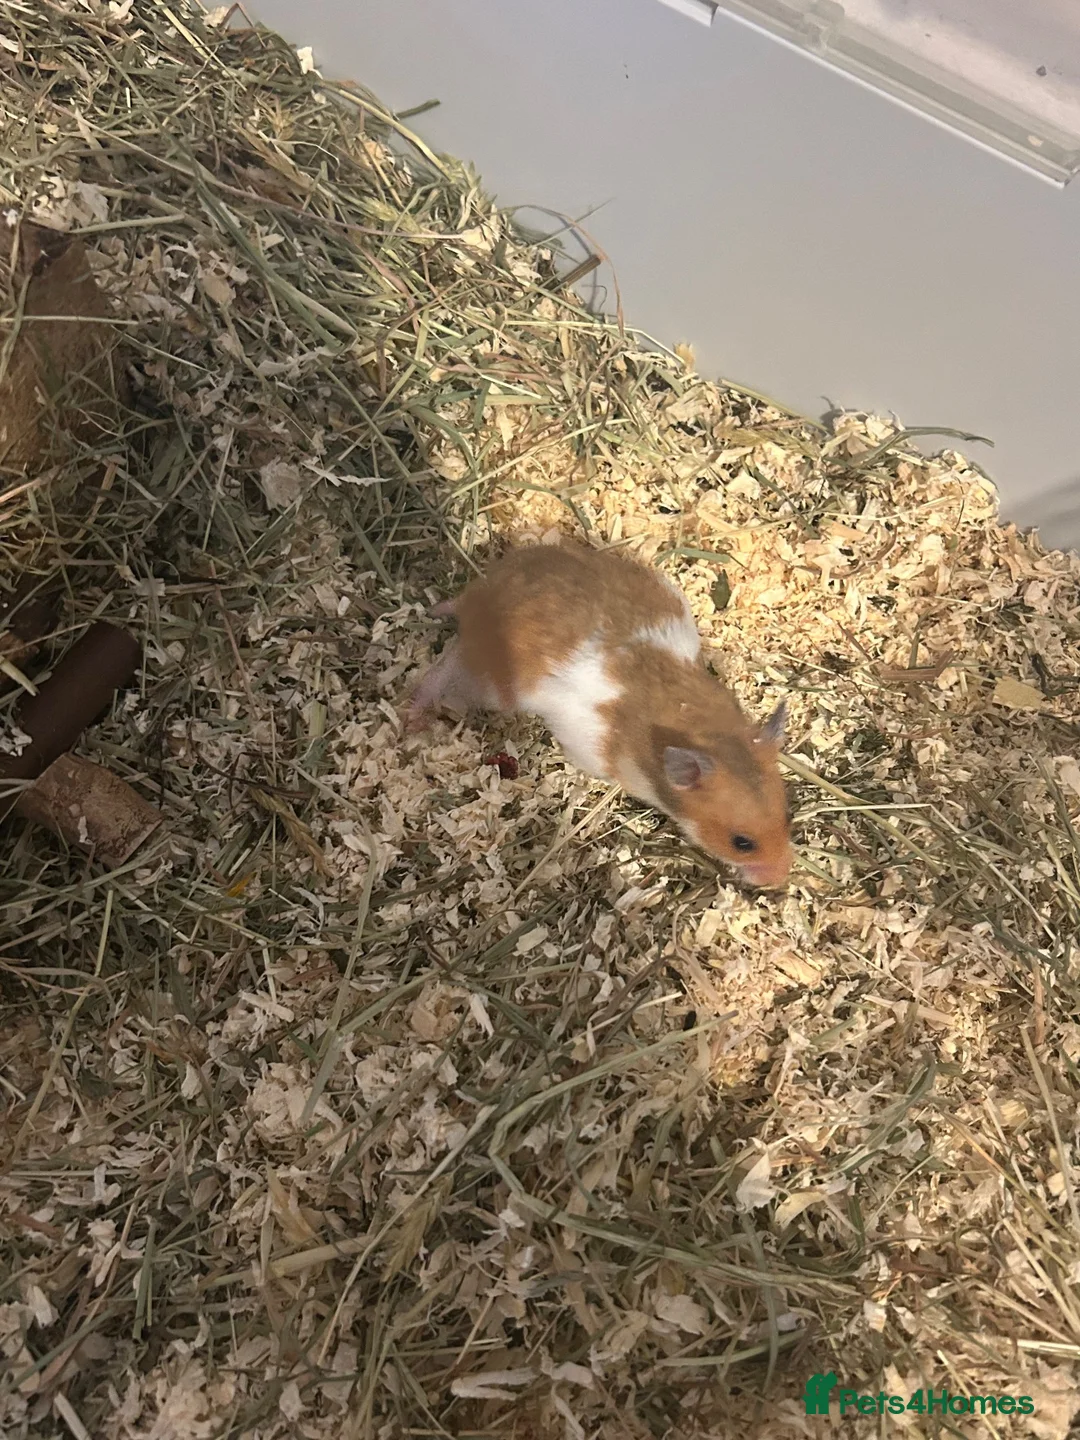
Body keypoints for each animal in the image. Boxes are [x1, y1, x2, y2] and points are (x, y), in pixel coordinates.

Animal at [406, 540, 792, 889]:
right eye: (741, 843)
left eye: (787, 816)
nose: (779, 881)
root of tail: (479, 601)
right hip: (491, 683)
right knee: (447, 662)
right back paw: (415, 714)